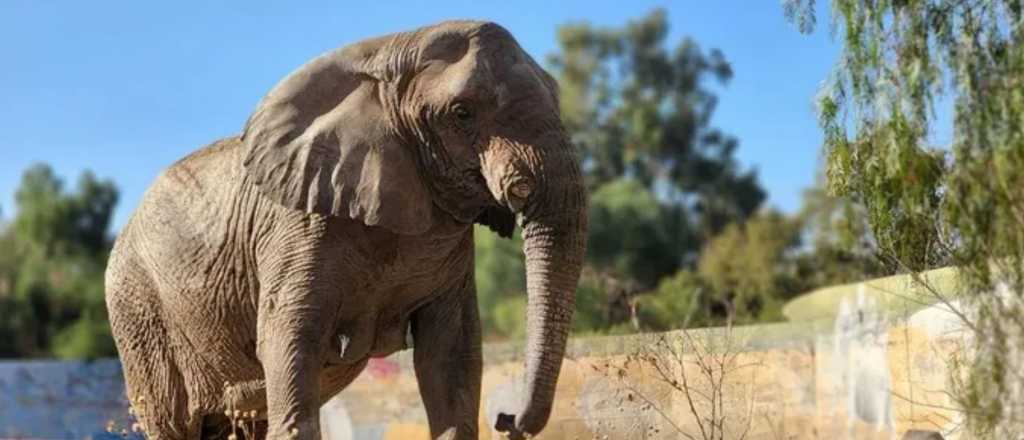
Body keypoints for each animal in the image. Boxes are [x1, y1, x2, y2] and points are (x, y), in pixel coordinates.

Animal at [104, 20, 587, 440]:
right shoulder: (298, 227)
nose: (507, 420)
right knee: (173, 422)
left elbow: (449, 353)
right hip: (138, 311)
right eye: (462, 112)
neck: (387, 55)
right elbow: (288, 339)